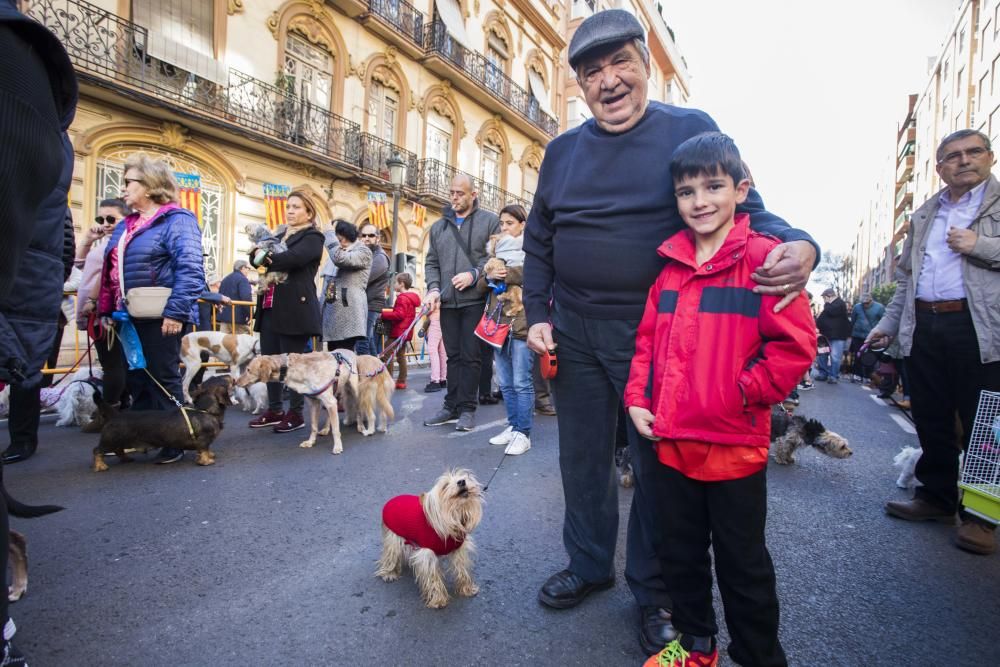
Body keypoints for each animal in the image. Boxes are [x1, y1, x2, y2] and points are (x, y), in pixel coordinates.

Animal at [376, 470, 484, 612]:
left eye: (464, 478)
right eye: (445, 486)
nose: (462, 482)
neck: (452, 517)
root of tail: (392, 500)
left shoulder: (458, 551)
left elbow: (462, 570)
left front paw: (466, 588)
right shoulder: (427, 555)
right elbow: (433, 579)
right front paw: (438, 600)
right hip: (393, 539)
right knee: (390, 555)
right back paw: (389, 573)